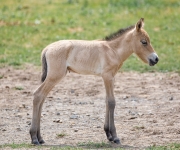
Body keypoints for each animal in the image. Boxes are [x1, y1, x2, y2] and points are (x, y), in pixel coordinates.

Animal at [29, 18, 159, 145]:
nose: (156, 59)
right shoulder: (107, 76)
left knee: (42, 97)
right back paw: (34, 138)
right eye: (144, 42)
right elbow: (111, 102)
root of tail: (47, 49)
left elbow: (107, 101)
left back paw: (40, 138)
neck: (112, 50)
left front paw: (108, 135)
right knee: (38, 95)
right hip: (55, 76)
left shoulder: (110, 77)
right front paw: (115, 137)